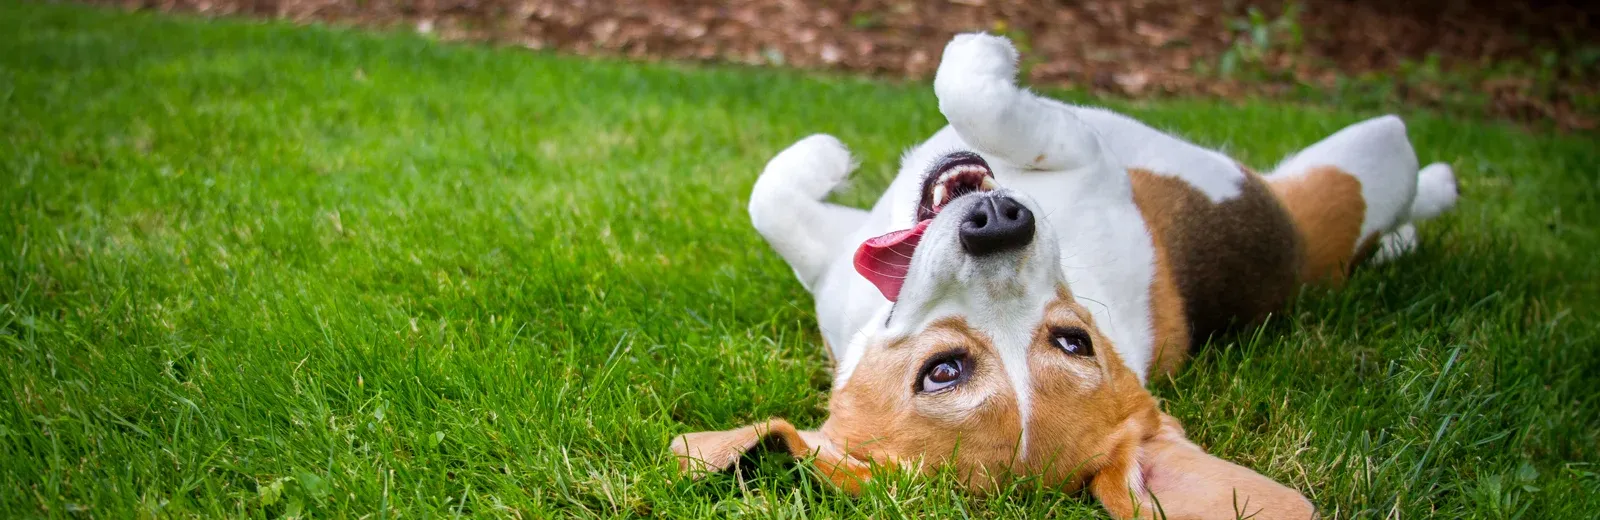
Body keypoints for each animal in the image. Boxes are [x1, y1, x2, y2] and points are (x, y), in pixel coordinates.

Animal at [668, 33, 1459, 518]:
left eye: (1072, 341)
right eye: (944, 372)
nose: (1000, 221)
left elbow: (778, 191)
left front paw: (830, 152)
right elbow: (962, 94)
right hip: (1362, 162)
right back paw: (1433, 198)